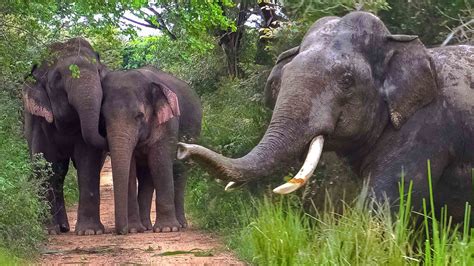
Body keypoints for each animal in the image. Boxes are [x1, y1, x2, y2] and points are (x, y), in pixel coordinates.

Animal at [22, 38, 107, 235]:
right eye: (57, 78)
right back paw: (59, 228)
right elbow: (45, 163)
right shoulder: (39, 120)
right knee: (57, 174)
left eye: (99, 72)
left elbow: (88, 162)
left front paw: (90, 232)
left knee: (61, 173)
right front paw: (48, 231)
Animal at [101, 66, 201, 235]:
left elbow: (159, 162)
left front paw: (167, 229)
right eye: (103, 117)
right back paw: (145, 227)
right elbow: (131, 169)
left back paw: (181, 224)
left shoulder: (168, 123)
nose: (121, 231)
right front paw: (134, 229)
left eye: (139, 116)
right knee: (146, 177)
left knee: (179, 172)